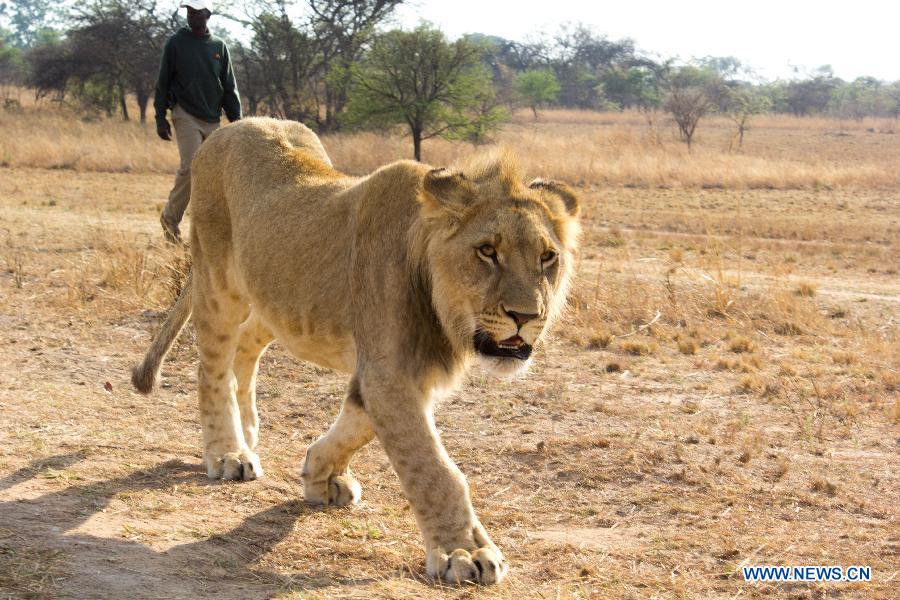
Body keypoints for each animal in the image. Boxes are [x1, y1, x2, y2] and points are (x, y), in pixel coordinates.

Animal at [132, 115, 584, 584]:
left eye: (547, 257)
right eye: (487, 251)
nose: (526, 316)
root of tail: (234, 125)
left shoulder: (389, 371)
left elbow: (356, 423)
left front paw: (318, 474)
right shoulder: (389, 373)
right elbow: (434, 467)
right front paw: (464, 552)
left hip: (277, 299)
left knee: (247, 342)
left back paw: (249, 431)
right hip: (217, 281)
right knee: (213, 366)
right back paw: (228, 452)